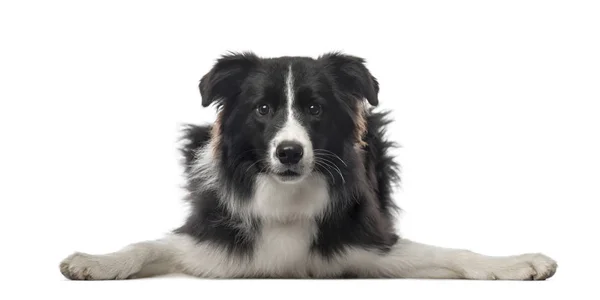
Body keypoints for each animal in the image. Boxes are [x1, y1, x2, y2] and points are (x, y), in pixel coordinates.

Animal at [59, 52, 556, 282]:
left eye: (315, 109)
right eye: (263, 109)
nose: (289, 153)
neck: (285, 199)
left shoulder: (367, 246)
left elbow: (452, 254)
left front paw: (518, 264)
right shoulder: (210, 244)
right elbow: (146, 245)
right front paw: (94, 262)